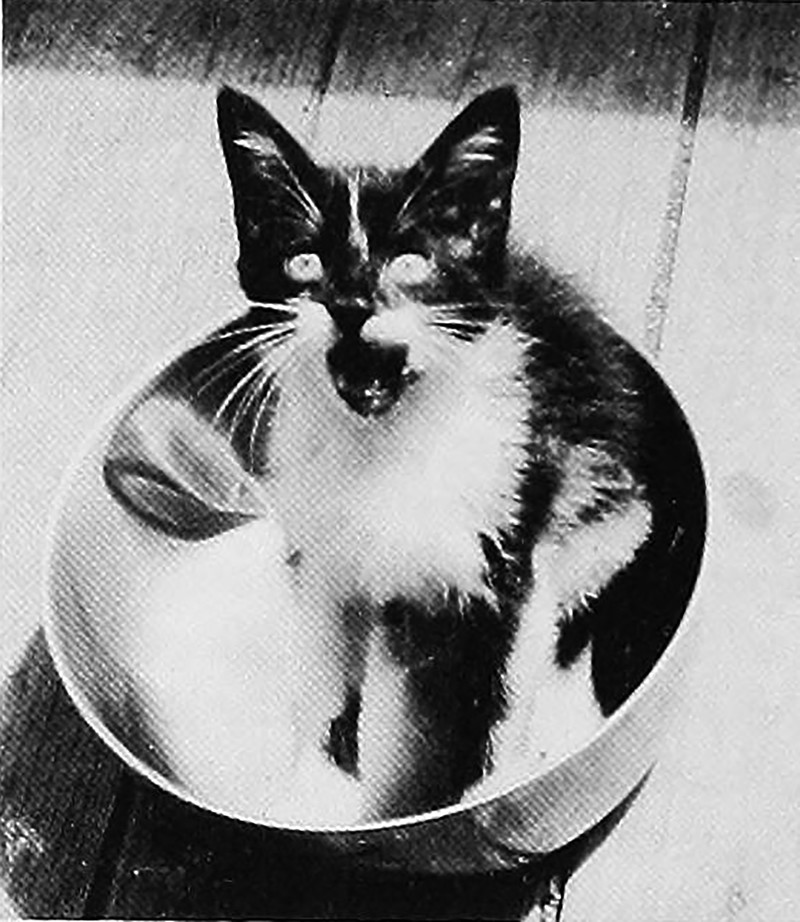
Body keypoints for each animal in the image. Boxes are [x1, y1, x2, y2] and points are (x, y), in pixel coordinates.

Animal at [102, 85, 659, 823]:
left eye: (411, 262)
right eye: (304, 261)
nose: (351, 304)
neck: (385, 445)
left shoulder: (516, 540)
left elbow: (502, 690)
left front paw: (486, 793)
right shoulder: (322, 561)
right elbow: (327, 677)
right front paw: (319, 794)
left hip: (611, 500)